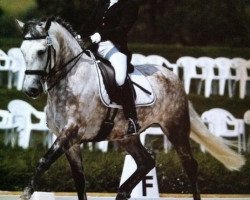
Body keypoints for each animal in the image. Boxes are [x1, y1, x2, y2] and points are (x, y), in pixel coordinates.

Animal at [15, 17, 244, 200]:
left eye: (41, 51)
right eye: (22, 52)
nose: (31, 89)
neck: (71, 77)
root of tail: (172, 76)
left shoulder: (71, 132)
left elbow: (44, 161)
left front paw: (26, 194)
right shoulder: (70, 141)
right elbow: (79, 180)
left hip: (175, 127)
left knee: (190, 165)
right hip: (127, 136)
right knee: (146, 162)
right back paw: (123, 192)